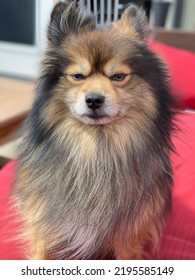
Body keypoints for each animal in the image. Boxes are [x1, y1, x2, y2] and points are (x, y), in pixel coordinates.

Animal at [14, 0, 174, 260]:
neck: (96, 150)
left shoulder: (129, 235)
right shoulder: (45, 226)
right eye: (78, 76)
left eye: (118, 76)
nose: (94, 100)